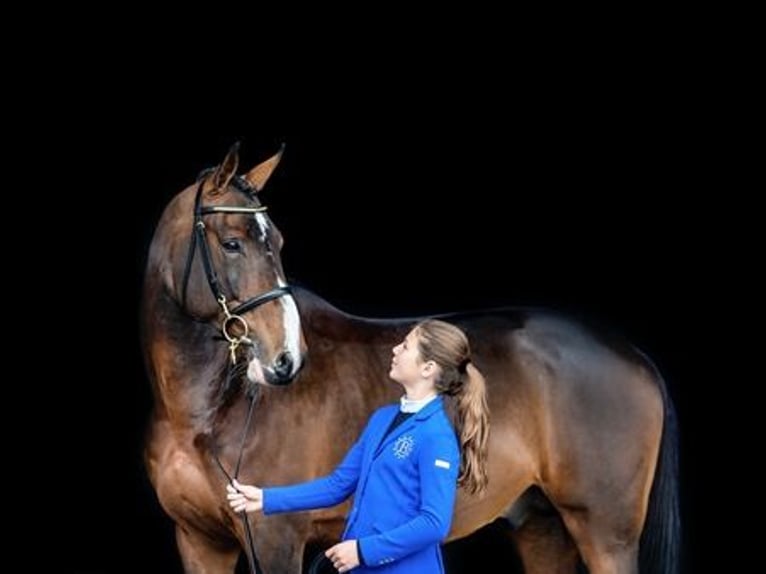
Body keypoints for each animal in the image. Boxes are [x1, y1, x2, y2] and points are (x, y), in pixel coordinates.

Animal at [144, 145, 684, 574]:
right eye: (232, 243)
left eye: (275, 242)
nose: (286, 359)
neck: (209, 412)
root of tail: (636, 356)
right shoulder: (200, 542)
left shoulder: (275, 541)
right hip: (543, 528)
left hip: (606, 536)